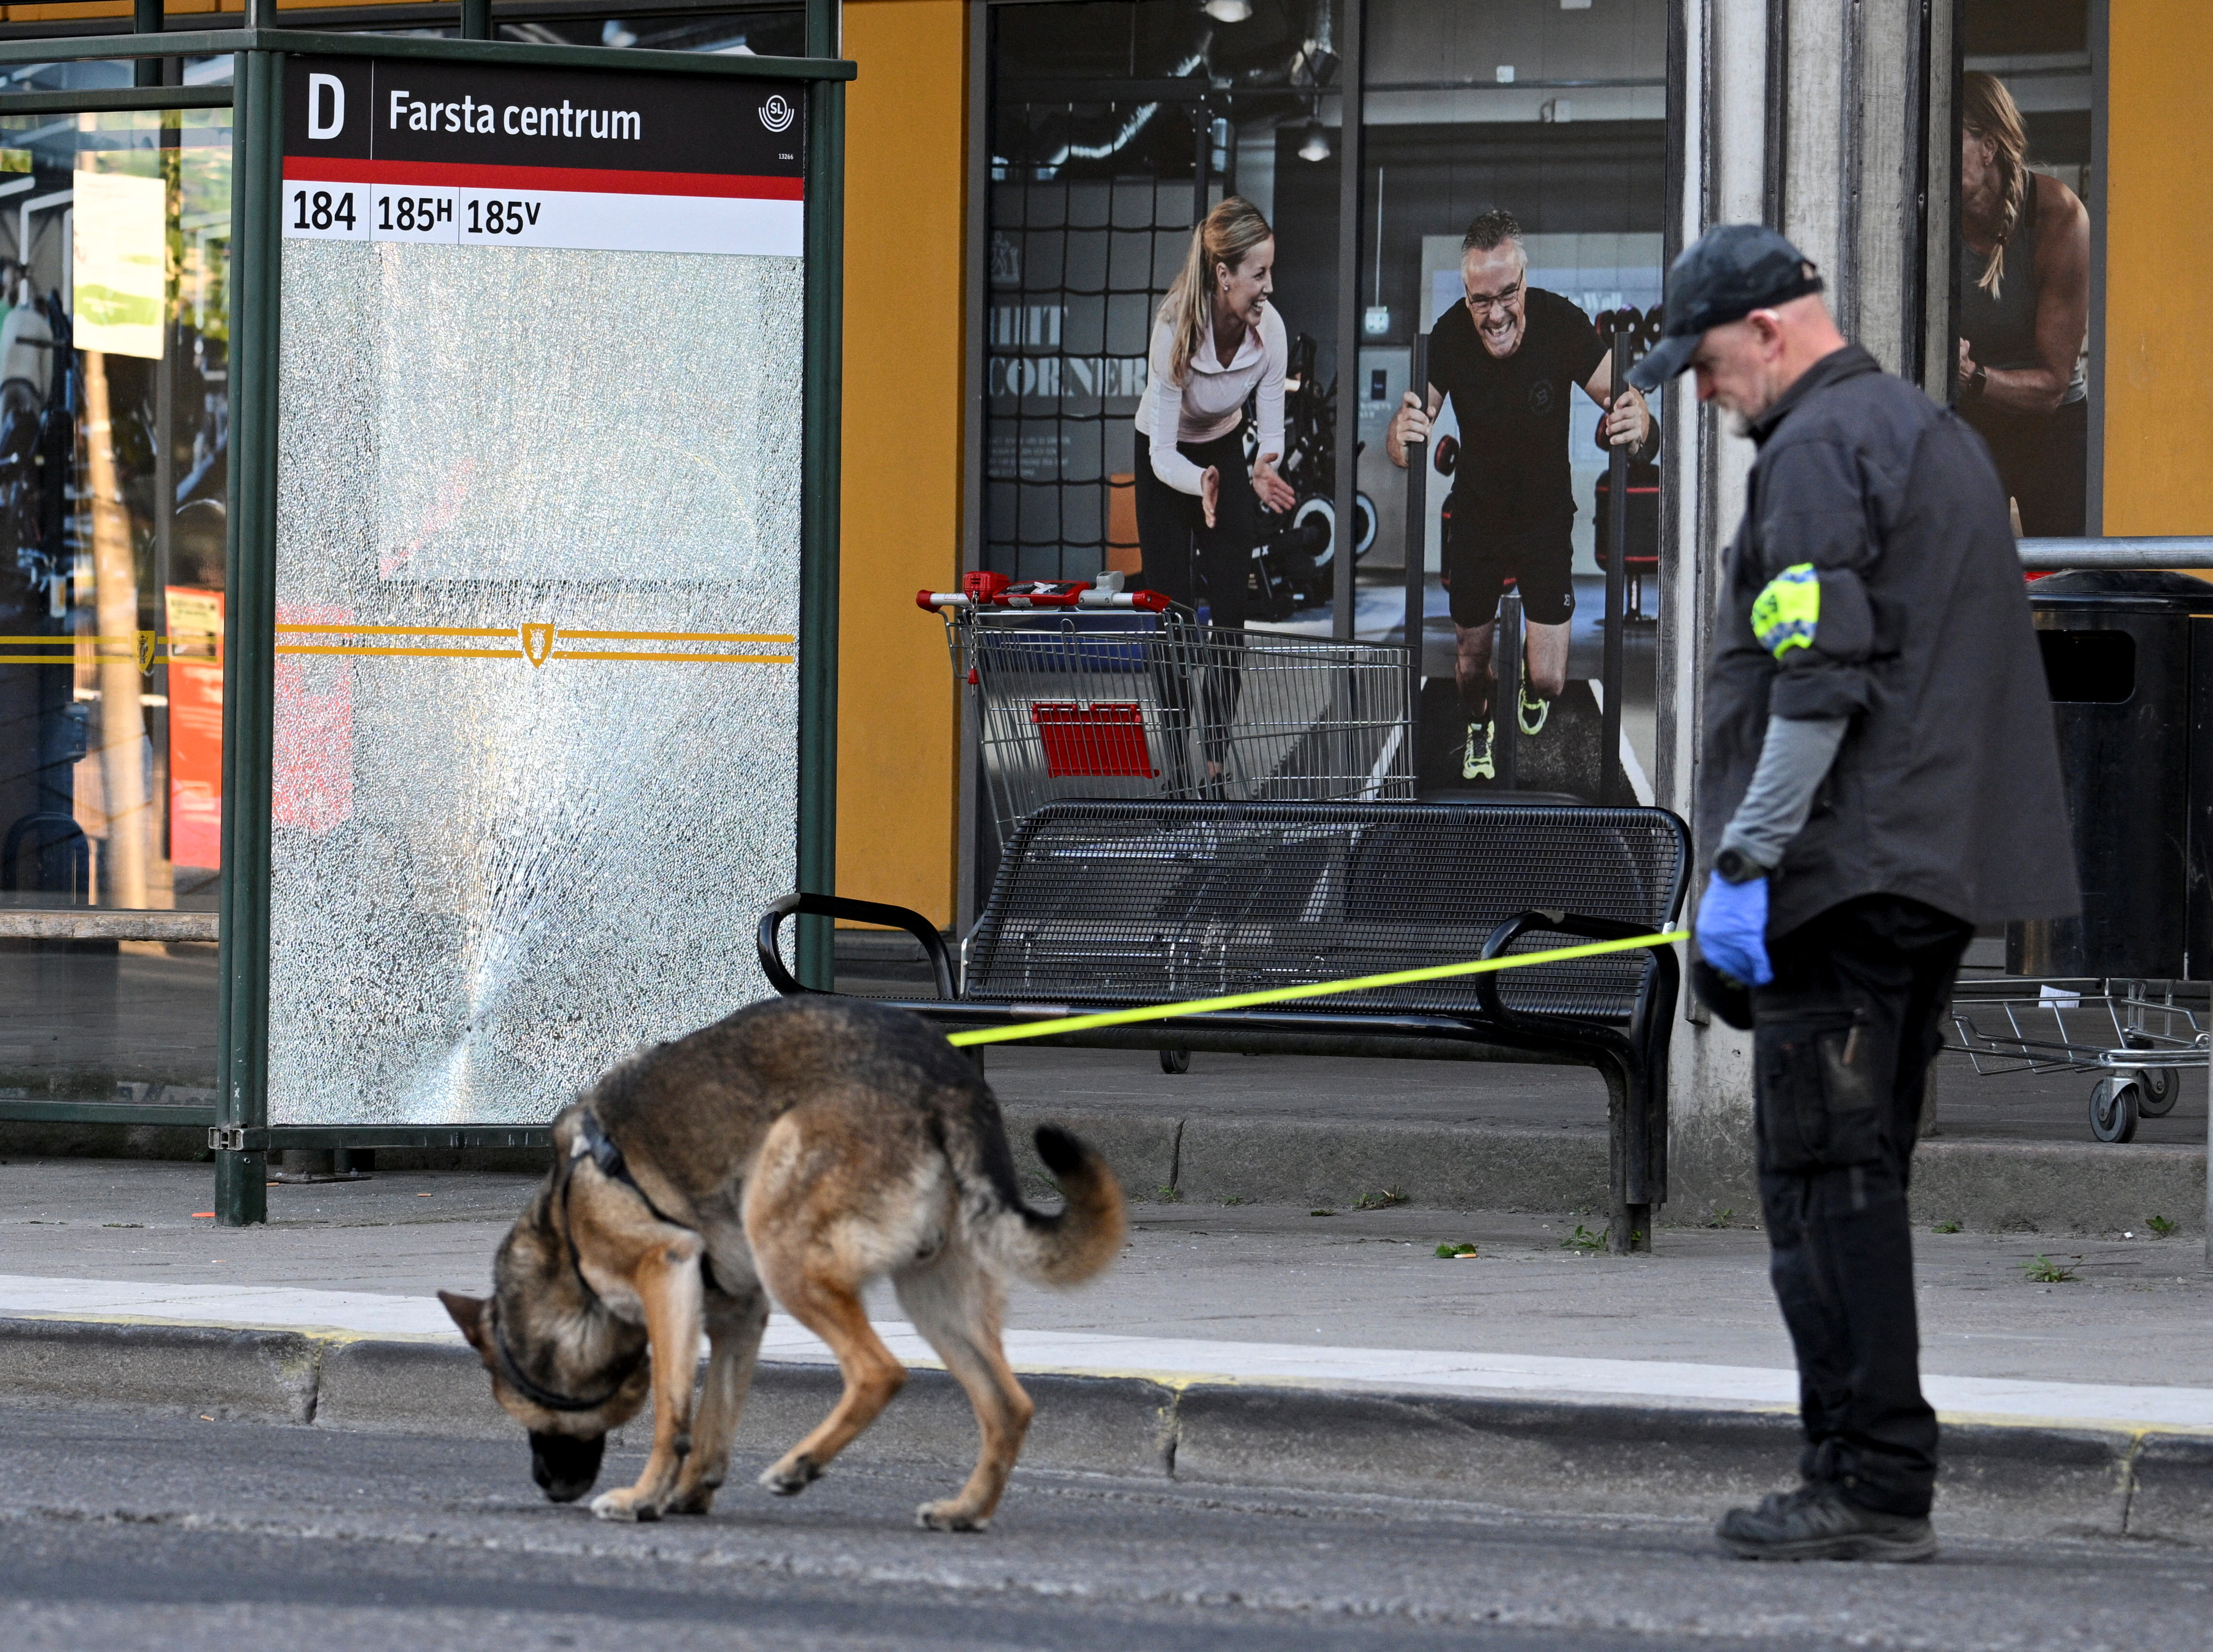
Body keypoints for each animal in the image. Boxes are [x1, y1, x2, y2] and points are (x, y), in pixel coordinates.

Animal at [436, 990, 1124, 1530]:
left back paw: (802, 1464)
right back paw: (967, 1509)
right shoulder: (739, 1314)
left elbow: (672, 1410)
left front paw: (643, 1496)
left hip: (789, 1256)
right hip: (933, 1299)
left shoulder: (666, 1274)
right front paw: (686, 1493)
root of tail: (948, 1080)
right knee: (1008, 1405)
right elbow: (713, 1418)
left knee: (879, 1370)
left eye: (524, 1412)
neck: (567, 1243)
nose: (548, 1487)